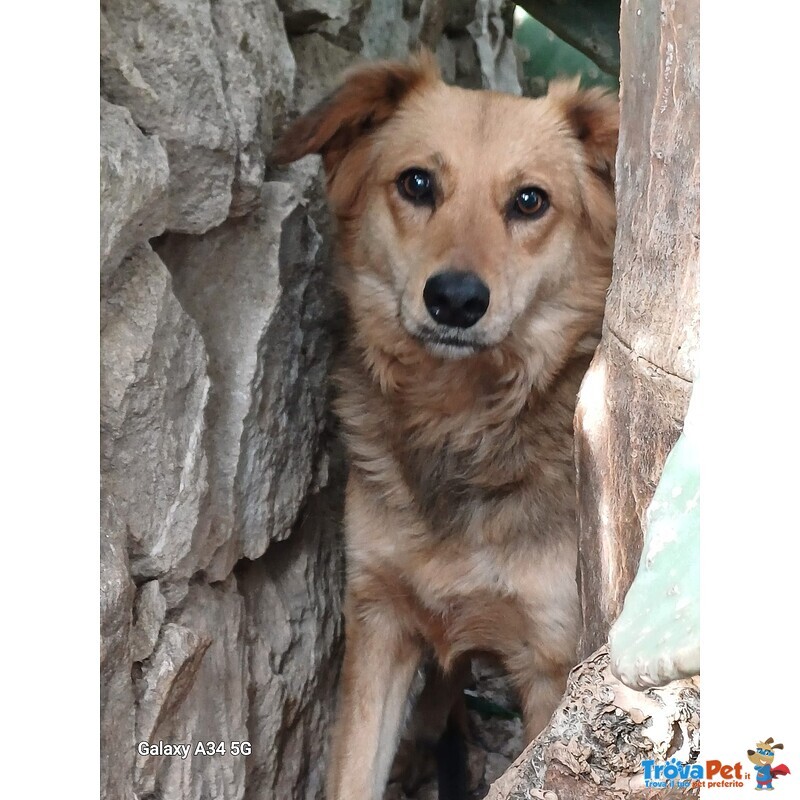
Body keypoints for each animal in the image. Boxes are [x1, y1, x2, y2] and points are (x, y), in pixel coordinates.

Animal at [276, 51, 620, 800]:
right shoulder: (378, 619)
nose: (456, 300)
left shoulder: (552, 664)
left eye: (529, 201)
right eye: (417, 183)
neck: (458, 419)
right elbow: (354, 771)